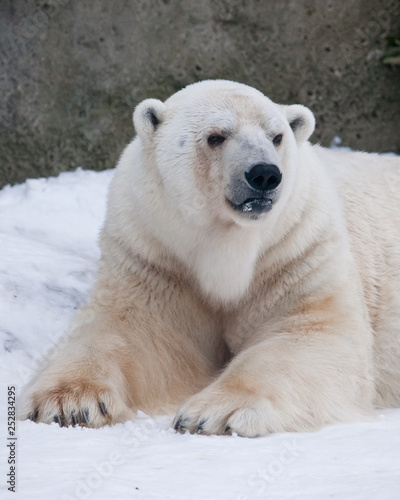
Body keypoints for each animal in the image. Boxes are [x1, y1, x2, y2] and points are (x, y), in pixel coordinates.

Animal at [20, 80, 400, 436]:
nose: (264, 174)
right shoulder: (154, 256)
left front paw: (216, 413)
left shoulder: (296, 251)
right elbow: (126, 330)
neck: (228, 245)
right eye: (216, 136)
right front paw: (67, 403)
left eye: (276, 136)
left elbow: (309, 333)